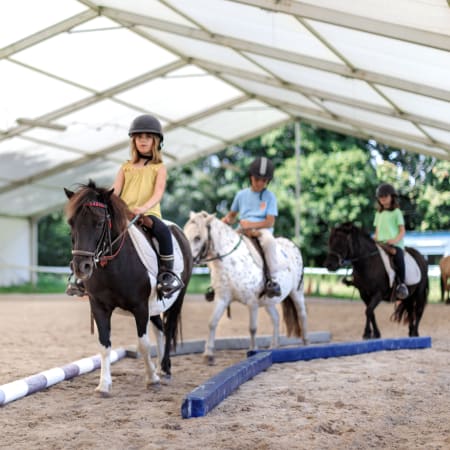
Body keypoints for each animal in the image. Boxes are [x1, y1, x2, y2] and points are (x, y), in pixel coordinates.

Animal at [63, 181, 192, 396]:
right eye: (71, 223)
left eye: (99, 223)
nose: (81, 267)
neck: (113, 266)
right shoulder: (99, 306)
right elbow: (104, 344)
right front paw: (104, 385)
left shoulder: (140, 307)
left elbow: (143, 344)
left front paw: (151, 380)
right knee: (160, 330)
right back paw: (159, 367)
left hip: (178, 297)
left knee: (169, 328)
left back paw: (165, 370)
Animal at [182, 212, 306, 366]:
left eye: (198, 237)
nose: (186, 259)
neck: (231, 262)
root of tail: (292, 245)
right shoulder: (222, 298)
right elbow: (212, 323)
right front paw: (208, 355)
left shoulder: (252, 302)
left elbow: (252, 328)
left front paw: (253, 350)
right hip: (269, 302)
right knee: (276, 318)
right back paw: (274, 346)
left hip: (297, 293)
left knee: (302, 315)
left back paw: (306, 344)